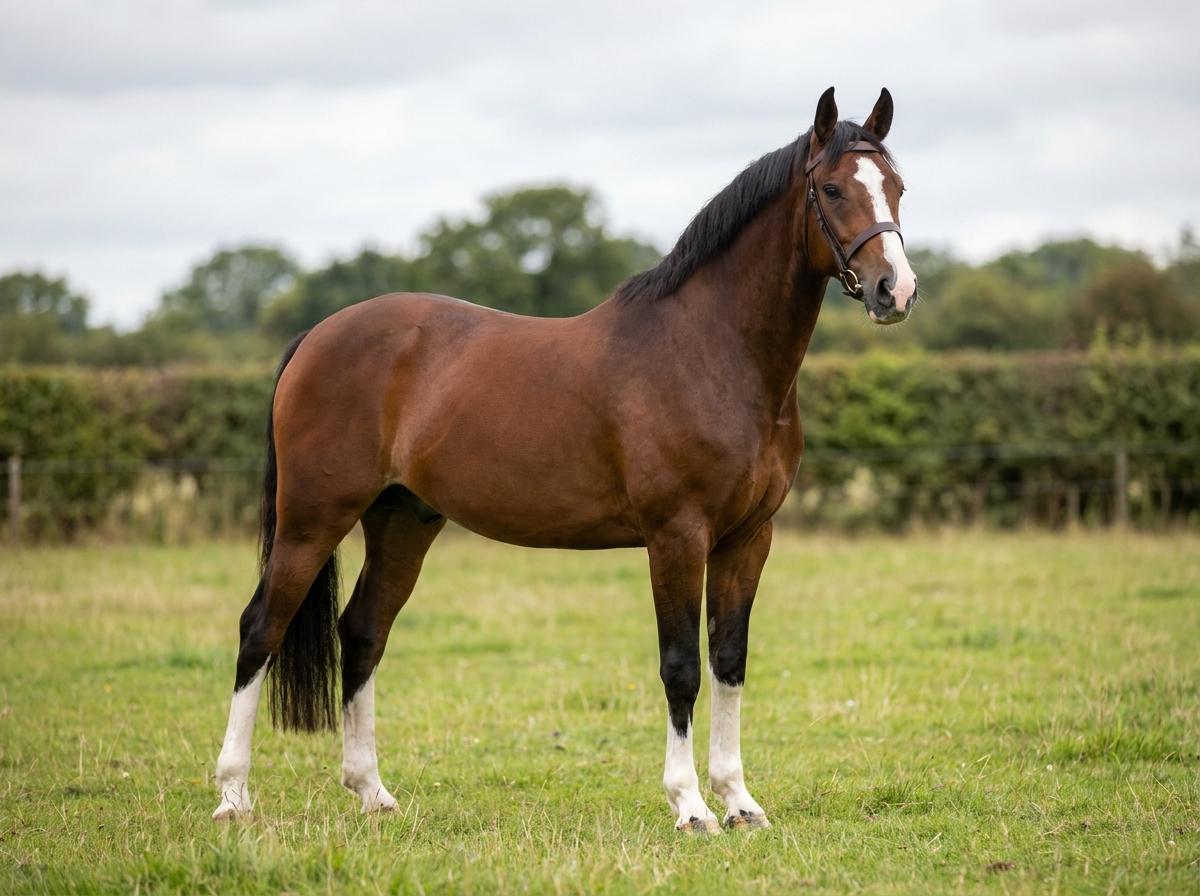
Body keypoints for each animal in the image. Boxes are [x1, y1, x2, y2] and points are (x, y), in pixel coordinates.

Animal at [212, 86, 918, 832]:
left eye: (897, 187)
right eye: (833, 188)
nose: (894, 291)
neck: (713, 351)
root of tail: (317, 335)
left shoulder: (748, 538)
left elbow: (729, 661)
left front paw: (738, 800)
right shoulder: (677, 536)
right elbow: (680, 666)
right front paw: (690, 804)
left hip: (402, 520)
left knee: (364, 631)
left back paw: (372, 790)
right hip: (312, 518)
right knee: (261, 628)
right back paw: (233, 796)